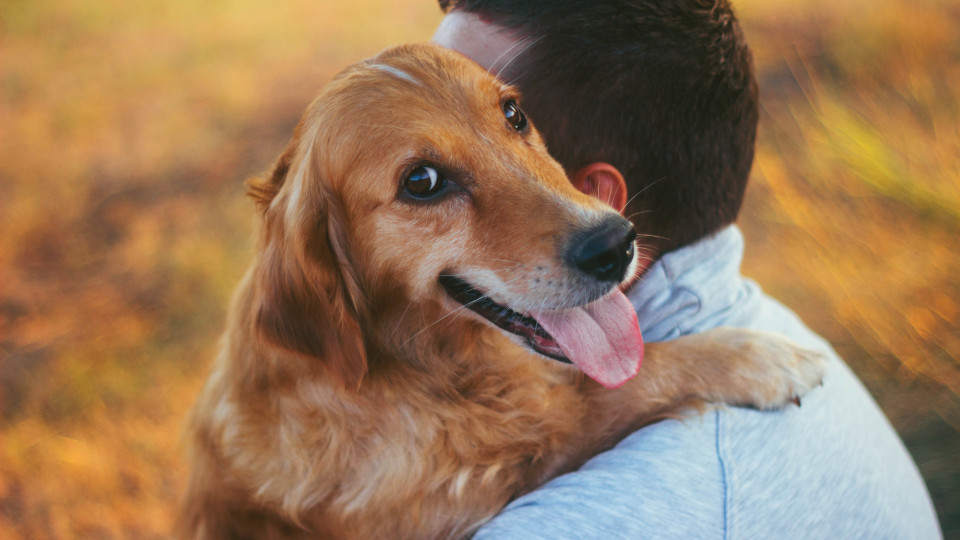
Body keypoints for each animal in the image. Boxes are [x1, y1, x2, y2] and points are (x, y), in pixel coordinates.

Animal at [182, 43, 824, 540]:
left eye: (514, 114)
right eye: (421, 181)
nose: (615, 244)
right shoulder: (461, 495)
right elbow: (616, 389)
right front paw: (757, 358)